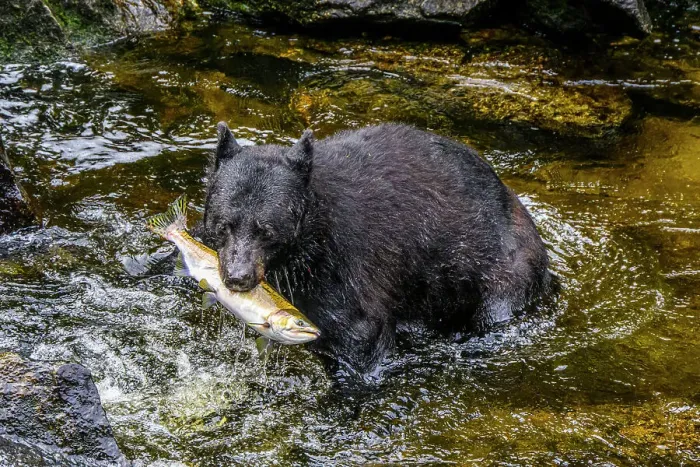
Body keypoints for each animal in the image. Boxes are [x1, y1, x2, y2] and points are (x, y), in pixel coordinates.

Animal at [203, 122, 551, 372]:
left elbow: (361, 335)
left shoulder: (346, 266)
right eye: (224, 224)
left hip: (501, 266)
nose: (237, 277)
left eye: (267, 231)